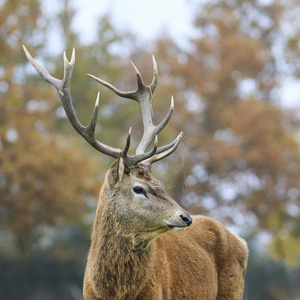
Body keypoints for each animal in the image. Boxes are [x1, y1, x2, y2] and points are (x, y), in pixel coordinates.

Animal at [22, 45, 248, 300]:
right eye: (139, 188)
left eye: (161, 185)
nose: (186, 217)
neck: (114, 293)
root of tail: (242, 242)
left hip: (232, 291)